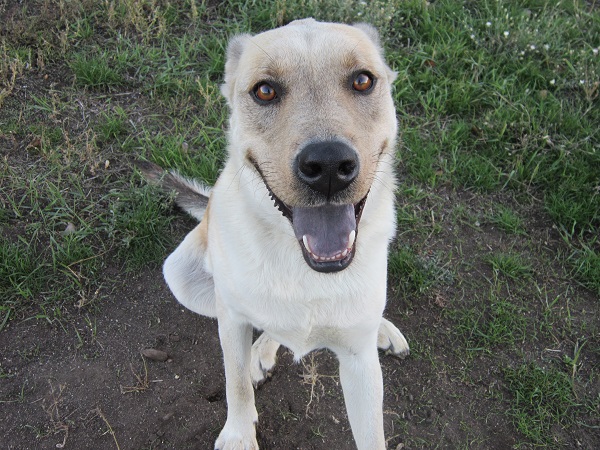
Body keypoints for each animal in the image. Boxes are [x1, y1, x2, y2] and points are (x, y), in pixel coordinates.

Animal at [141, 18, 409, 450]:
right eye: (264, 90)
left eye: (363, 80)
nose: (329, 165)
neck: (303, 264)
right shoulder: (231, 321)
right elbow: (234, 382)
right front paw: (238, 433)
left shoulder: (360, 365)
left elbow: (372, 432)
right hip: (183, 276)